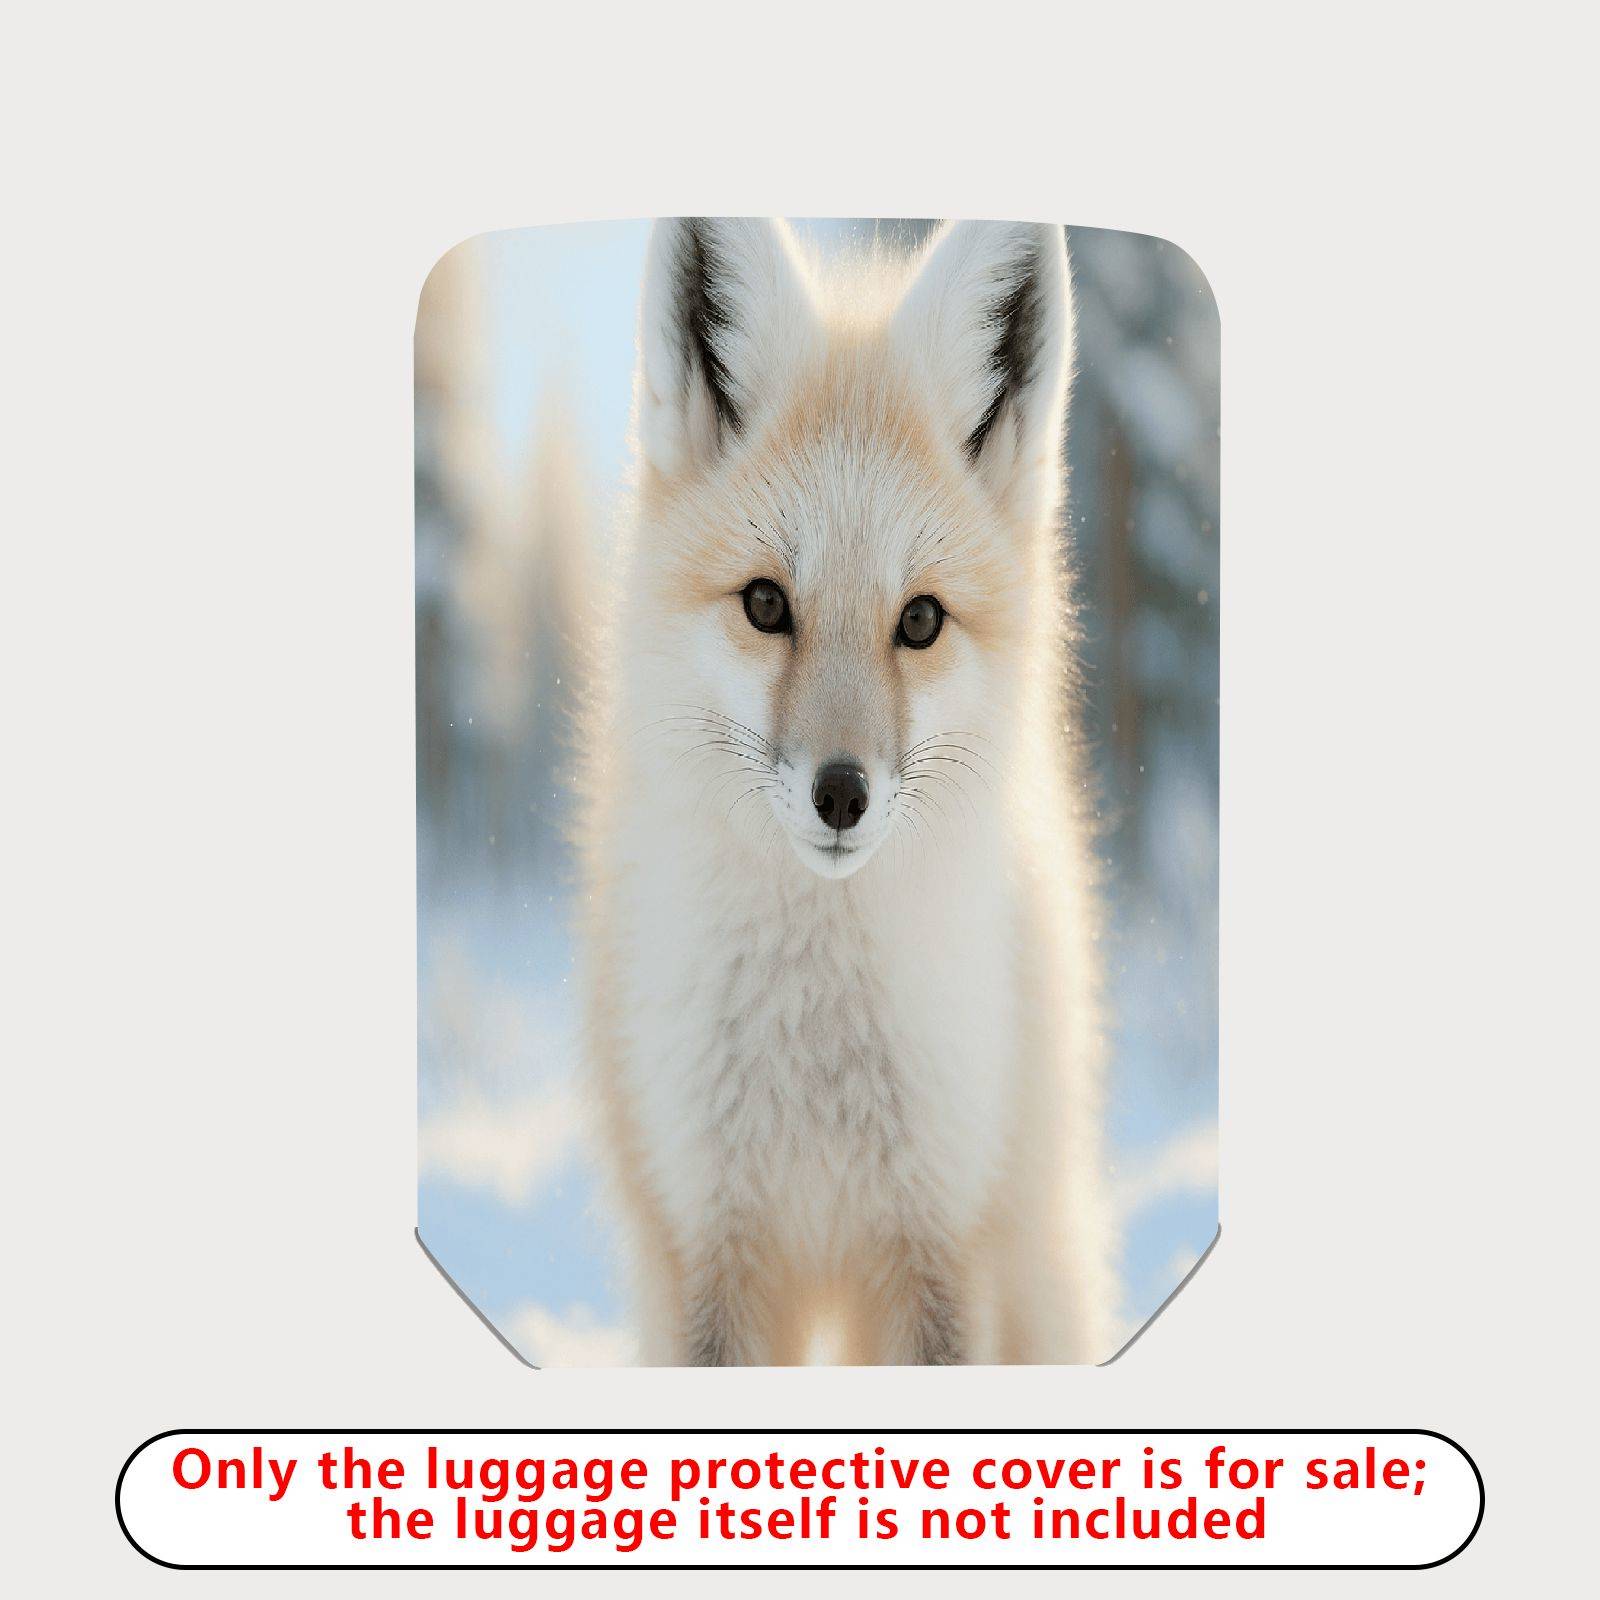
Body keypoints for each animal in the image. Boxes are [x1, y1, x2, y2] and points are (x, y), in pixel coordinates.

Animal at [576, 217, 1116, 1365]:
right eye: (766, 605)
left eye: (919, 621)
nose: (841, 794)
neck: (813, 1050)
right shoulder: (709, 1251)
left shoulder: (941, 1252)